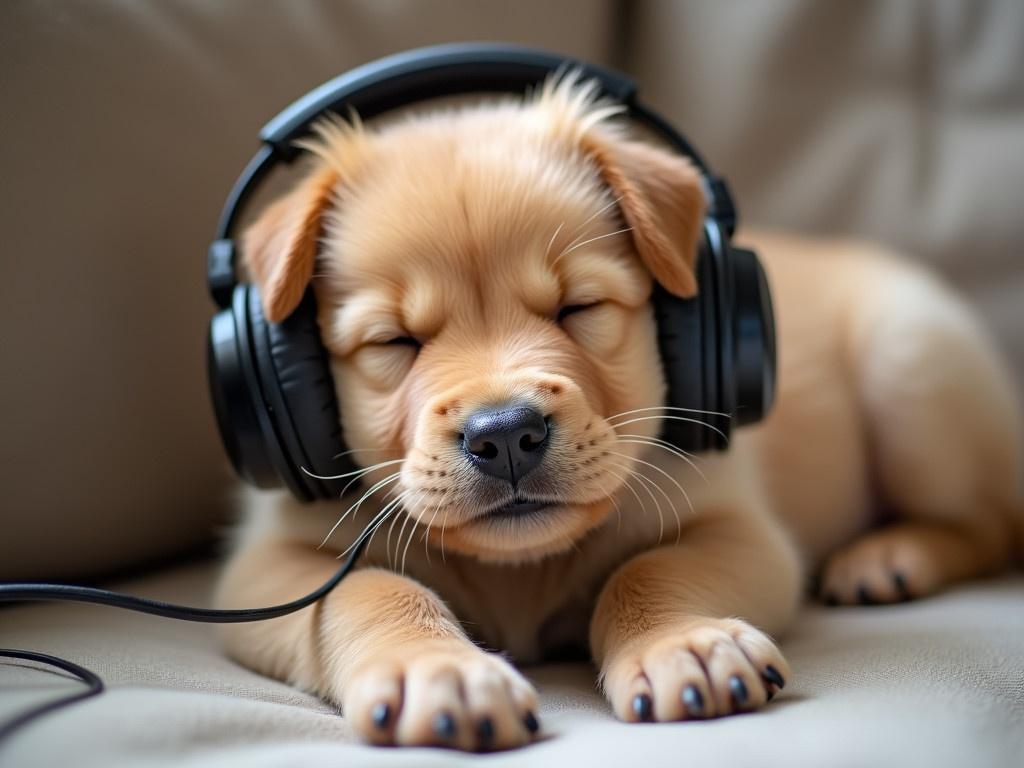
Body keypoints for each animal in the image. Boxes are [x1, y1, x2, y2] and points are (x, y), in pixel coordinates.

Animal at [211, 76, 1019, 753]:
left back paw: (889, 557)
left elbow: (650, 570)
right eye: (394, 342)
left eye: (580, 308)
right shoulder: (268, 565)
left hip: (912, 362)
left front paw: (682, 644)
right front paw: (437, 670)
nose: (506, 436)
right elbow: (369, 590)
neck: (520, 565)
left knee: (990, 523)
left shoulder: (738, 526)